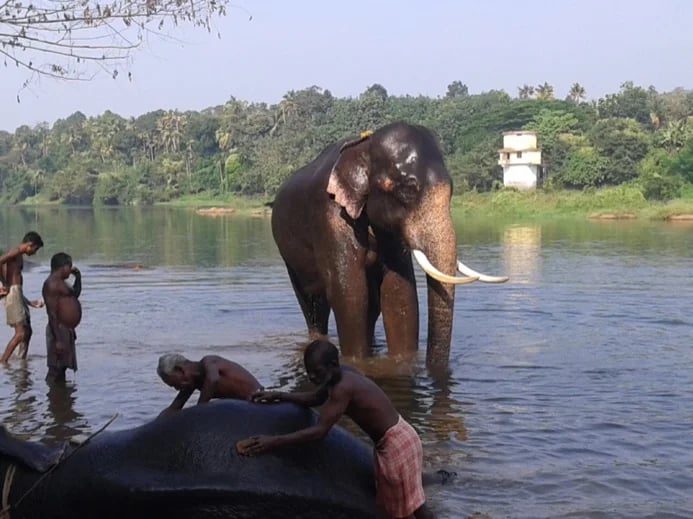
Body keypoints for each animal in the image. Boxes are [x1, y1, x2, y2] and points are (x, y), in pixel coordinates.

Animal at [270, 122, 507, 368]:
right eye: (408, 189)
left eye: (452, 190)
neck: (364, 146)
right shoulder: (330, 217)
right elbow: (349, 291)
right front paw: (357, 362)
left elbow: (398, 290)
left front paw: (402, 362)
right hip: (289, 257)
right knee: (313, 304)